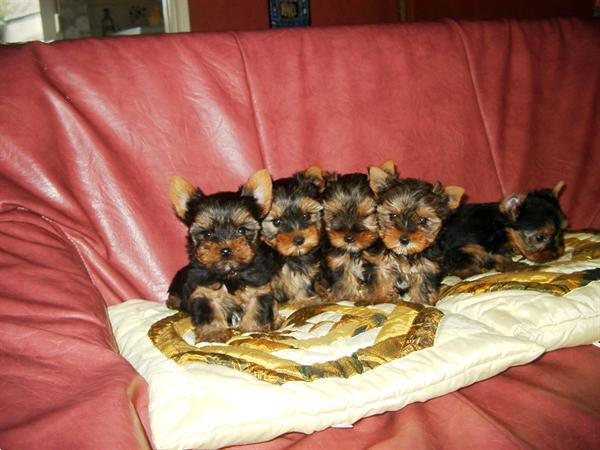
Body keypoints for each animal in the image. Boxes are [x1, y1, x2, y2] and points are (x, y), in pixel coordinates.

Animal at [166, 169, 282, 342]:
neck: (229, 273)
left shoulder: (259, 287)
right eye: (207, 234)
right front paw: (214, 333)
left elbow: (257, 307)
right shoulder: (204, 291)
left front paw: (253, 329)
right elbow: (210, 312)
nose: (226, 250)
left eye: (241, 230)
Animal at [322, 162, 400, 302]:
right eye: (336, 215)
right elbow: (344, 278)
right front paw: (344, 295)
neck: (356, 251)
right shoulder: (339, 260)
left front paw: (379, 297)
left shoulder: (377, 260)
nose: (348, 238)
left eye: (365, 216)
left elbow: (380, 276)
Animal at [370, 165, 464, 306]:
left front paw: (423, 303)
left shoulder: (426, 268)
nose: (404, 239)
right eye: (393, 215)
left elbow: (423, 289)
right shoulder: (383, 265)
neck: (405, 254)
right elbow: (383, 283)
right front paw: (381, 300)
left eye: (423, 220)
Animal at [436, 180, 568, 278]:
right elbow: (495, 256)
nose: (557, 254)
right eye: (539, 238)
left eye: (561, 233)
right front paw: (515, 266)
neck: (501, 228)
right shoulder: (463, 246)